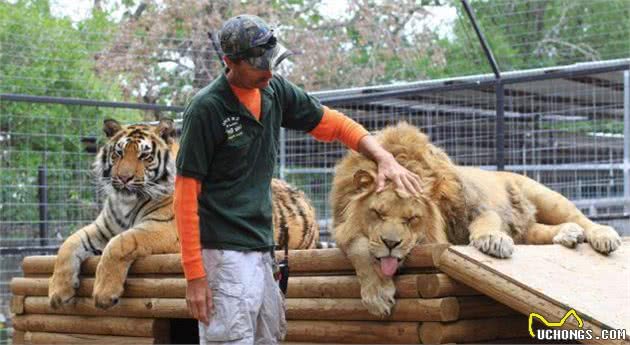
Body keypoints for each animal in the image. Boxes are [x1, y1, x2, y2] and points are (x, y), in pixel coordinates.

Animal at [50, 117, 320, 310]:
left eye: (144, 156)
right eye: (119, 153)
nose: (123, 178)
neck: (126, 203)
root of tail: (305, 198)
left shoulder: (164, 228)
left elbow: (120, 243)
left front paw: (104, 294)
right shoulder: (103, 227)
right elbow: (68, 244)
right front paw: (58, 293)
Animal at [334, 121, 624, 318]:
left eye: (412, 219)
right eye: (377, 213)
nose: (391, 244)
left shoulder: (477, 207)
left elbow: (486, 222)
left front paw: (493, 241)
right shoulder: (342, 229)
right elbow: (359, 248)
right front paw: (377, 296)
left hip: (543, 195)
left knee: (581, 218)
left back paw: (603, 236)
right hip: (528, 229)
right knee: (543, 231)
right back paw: (568, 235)